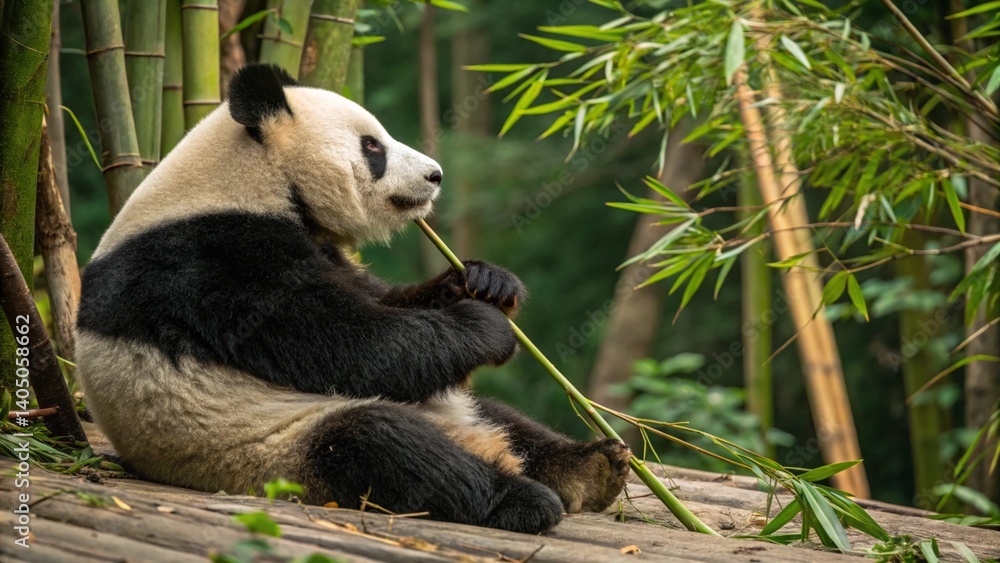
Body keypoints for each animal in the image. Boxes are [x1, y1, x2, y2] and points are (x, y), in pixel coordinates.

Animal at [75, 64, 630, 534]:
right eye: (372, 147)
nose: (435, 176)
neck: (247, 179)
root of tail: (475, 441)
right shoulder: (210, 260)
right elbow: (344, 345)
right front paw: (483, 323)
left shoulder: (314, 246)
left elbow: (383, 306)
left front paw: (486, 282)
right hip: (268, 447)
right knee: (385, 446)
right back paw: (521, 499)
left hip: (448, 404)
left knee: (500, 415)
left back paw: (592, 466)